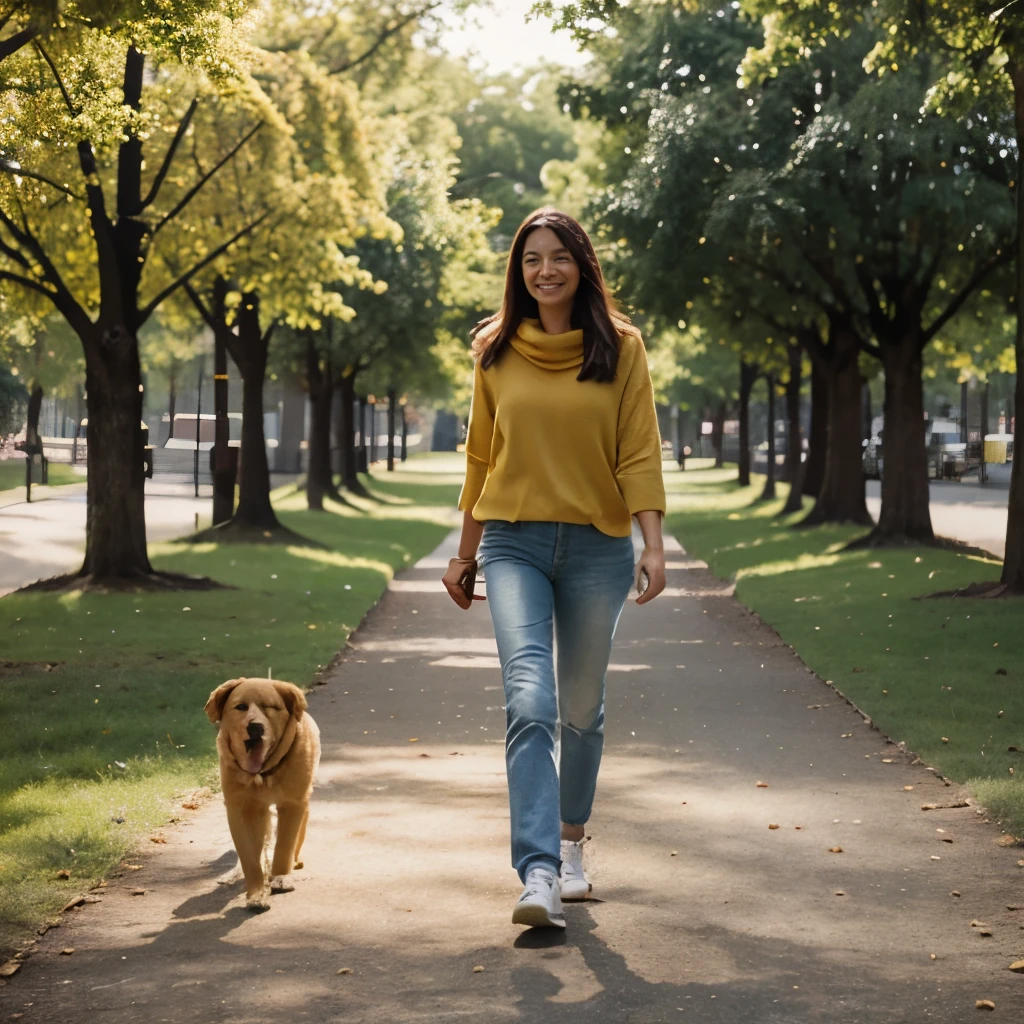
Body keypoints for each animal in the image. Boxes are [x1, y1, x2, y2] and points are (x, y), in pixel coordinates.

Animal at [203, 675, 319, 909]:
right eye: (240, 707)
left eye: (270, 707)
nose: (255, 727)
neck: (264, 773)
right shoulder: (241, 807)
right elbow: (249, 855)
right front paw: (256, 893)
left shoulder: (293, 803)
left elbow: (284, 844)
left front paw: (281, 878)